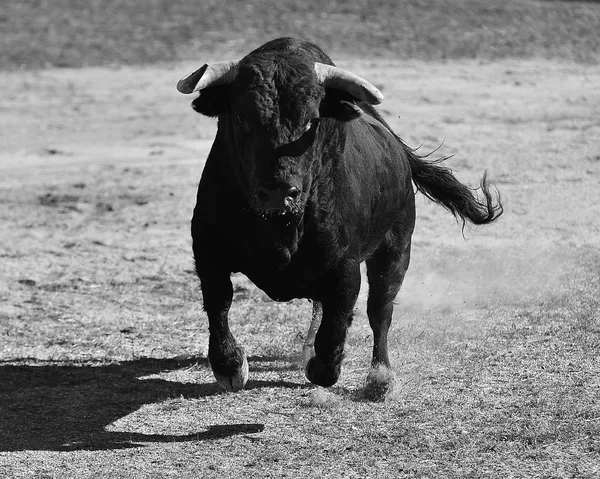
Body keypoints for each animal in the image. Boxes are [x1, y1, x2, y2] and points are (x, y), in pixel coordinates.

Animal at [177, 37, 502, 400]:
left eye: (311, 120)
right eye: (242, 118)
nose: (278, 192)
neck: (282, 227)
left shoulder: (344, 265)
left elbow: (338, 321)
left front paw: (322, 367)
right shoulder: (208, 248)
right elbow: (218, 300)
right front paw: (231, 367)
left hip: (396, 248)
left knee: (380, 309)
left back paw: (380, 377)